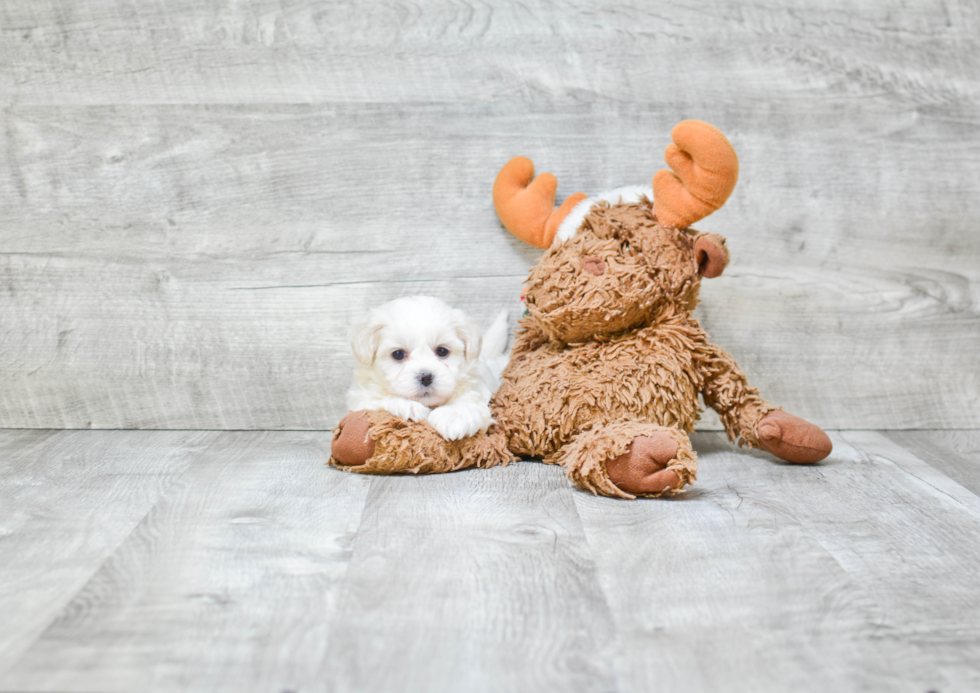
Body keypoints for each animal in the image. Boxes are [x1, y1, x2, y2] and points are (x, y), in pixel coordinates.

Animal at [348, 294, 510, 440]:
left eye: (442, 351)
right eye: (398, 354)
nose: (425, 377)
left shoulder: (475, 385)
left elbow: (469, 398)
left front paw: (453, 417)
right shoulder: (360, 399)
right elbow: (379, 400)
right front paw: (408, 406)